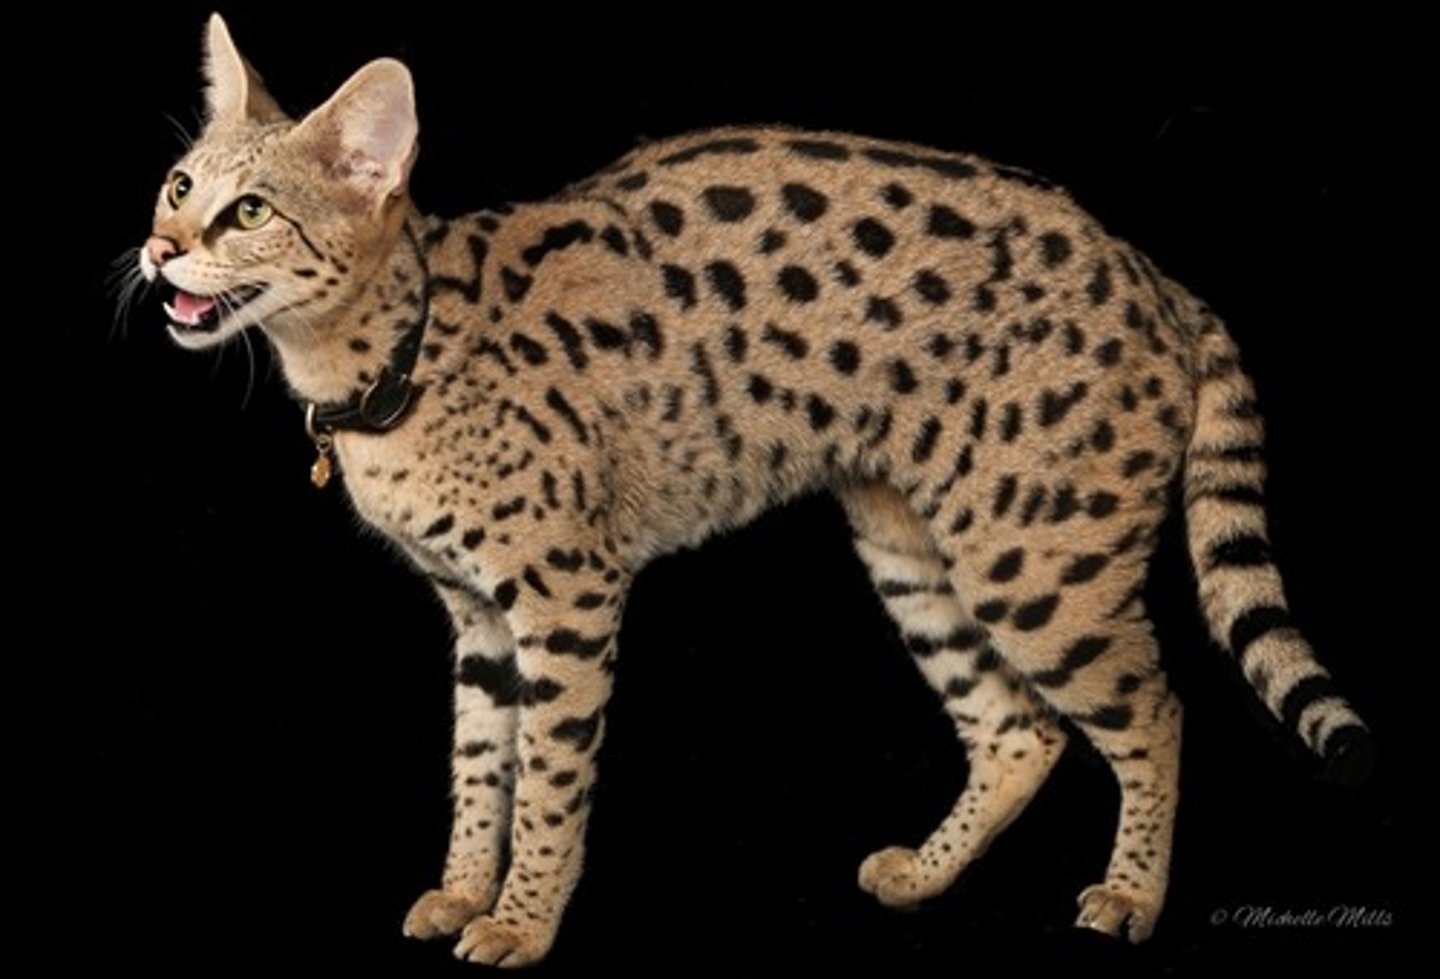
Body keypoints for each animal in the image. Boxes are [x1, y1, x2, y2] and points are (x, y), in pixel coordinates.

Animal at [134, 14, 1374, 966]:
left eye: (249, 212)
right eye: (178, 185)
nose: (155, 250)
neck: (395, 360)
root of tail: (1155, 274)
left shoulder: (567, 594)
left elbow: (551, 776)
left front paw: (523, 924)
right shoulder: (477, 615)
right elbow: (479, 764)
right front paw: (460, 891)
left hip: (1035, 562)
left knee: (1154, 706)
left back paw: (1133, 895)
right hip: (912, 545)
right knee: (1018, 725)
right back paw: (926, 873)